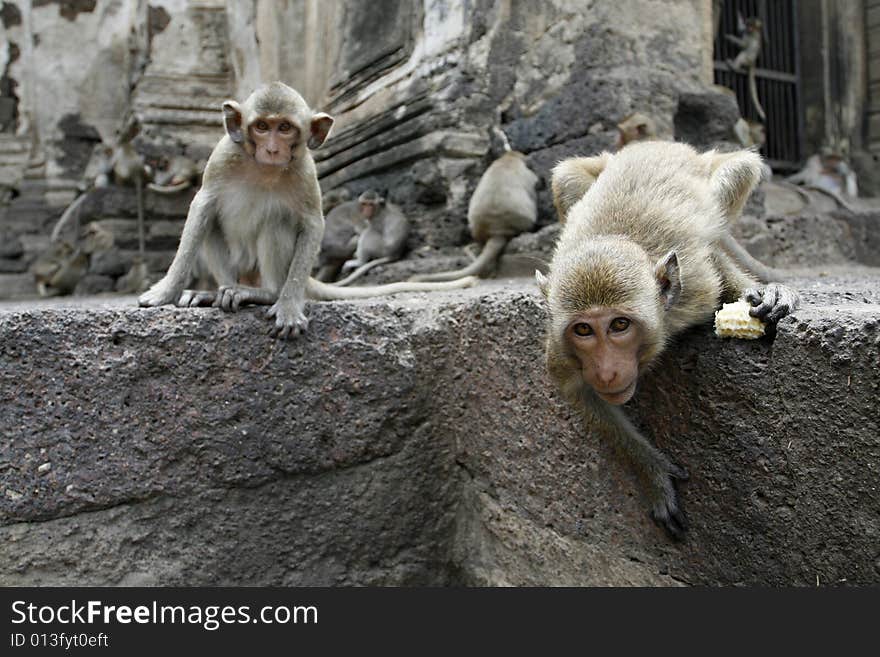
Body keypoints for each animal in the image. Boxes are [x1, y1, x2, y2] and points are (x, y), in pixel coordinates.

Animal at [138, 82, 478, 338]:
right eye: (262, 127)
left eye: (285, 128)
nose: (272, 149)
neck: (263, 169)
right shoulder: (222, 156)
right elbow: (203, 206)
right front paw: (165, 291)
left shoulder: (305, 171)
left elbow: (313, 224)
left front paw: (289, 306)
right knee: (212, 225)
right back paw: (217, 292)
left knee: (276, 224)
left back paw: (266, 294)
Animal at [540, 142, 800, 540]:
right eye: (583, 331)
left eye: (619, 325)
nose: (606, 371)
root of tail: (656, 142)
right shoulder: (559, 348)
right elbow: (581, 394)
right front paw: (654, 472)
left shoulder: (696, 287)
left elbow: (713, 262)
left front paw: (764, 293)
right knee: (565, 177)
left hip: (715, 171)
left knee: (729, 190)